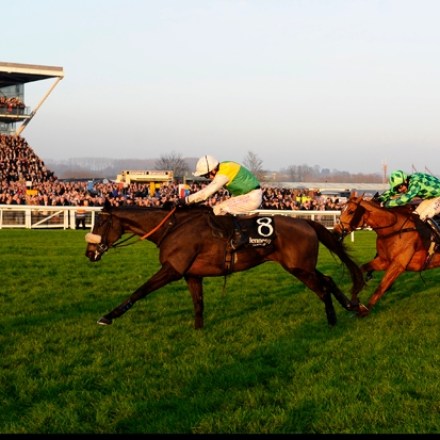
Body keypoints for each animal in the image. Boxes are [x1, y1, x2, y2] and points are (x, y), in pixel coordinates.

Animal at [85, 201, 366, 328]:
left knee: (322, 289)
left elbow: (139, 291)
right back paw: (353, 306)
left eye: (100, 223)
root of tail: (307, 222)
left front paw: (108, 316)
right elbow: (198, 302)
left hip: (299, 269)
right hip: (303, 265)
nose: (89, 253)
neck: (172, 227)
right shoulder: (191, 275)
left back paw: (332, 320)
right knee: (328, 280)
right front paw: (198, 330)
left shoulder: (172, 269)